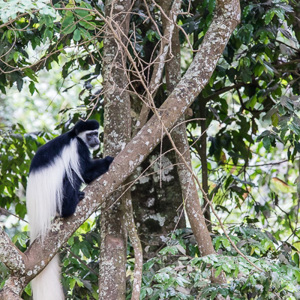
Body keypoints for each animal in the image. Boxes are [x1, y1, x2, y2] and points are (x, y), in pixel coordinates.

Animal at [25, 119, 112, 300]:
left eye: (96, 133)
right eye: (90, 135)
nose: (96, 140)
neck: (74, 136)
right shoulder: (79, 149)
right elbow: (86, 173)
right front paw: (108, 160)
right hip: (56, 197)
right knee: (71, 173)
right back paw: (72, 204)